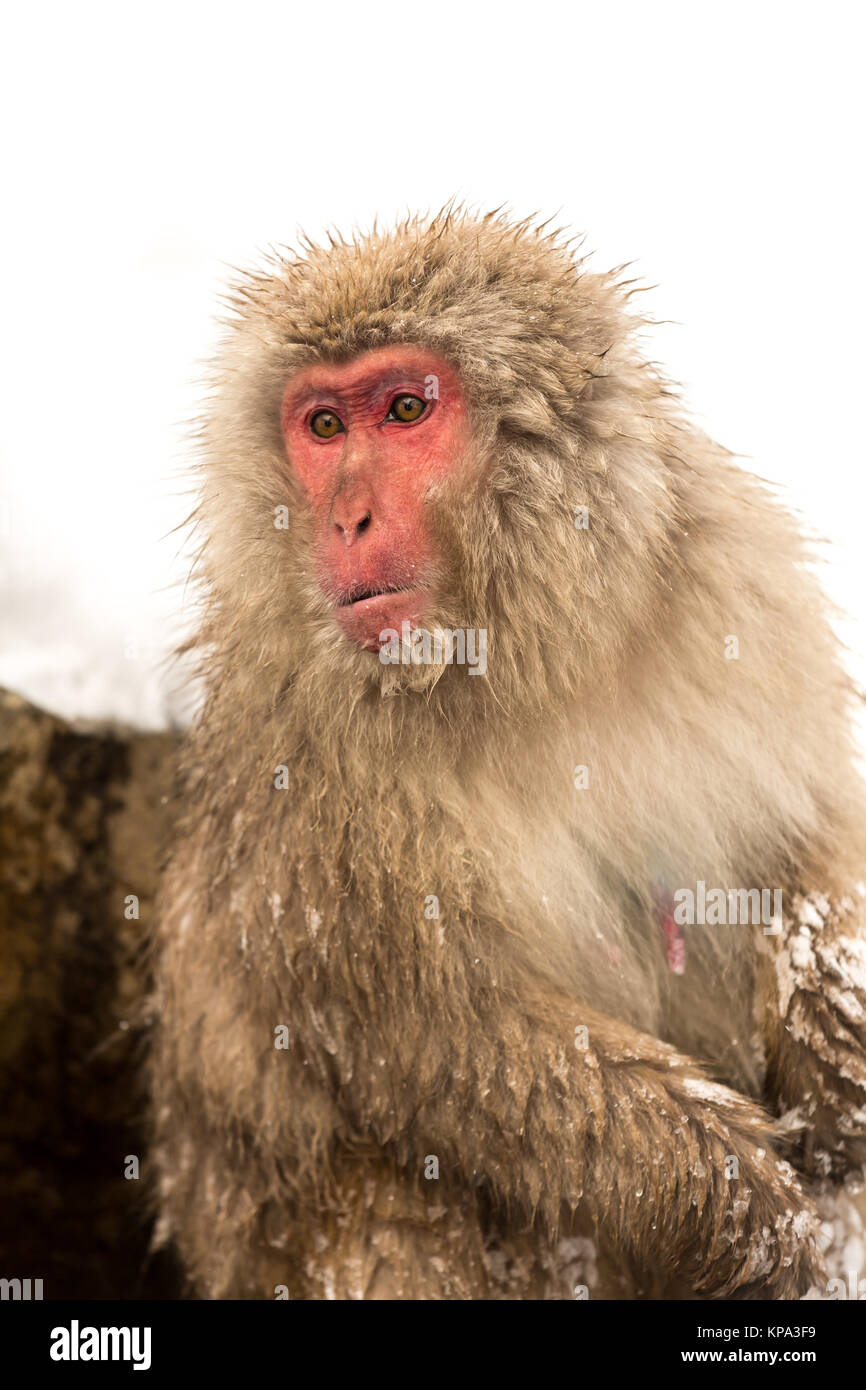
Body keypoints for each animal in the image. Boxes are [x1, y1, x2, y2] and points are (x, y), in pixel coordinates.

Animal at [152, 208, 866, 1301]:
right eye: (324, 429)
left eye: (405, 409)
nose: (345, 517)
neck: (518, 663)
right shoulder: (307, 763)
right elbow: (432, 1036)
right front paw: (748, 1213)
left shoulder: (735, 589)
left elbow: (807, 836)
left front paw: (839, 1071)